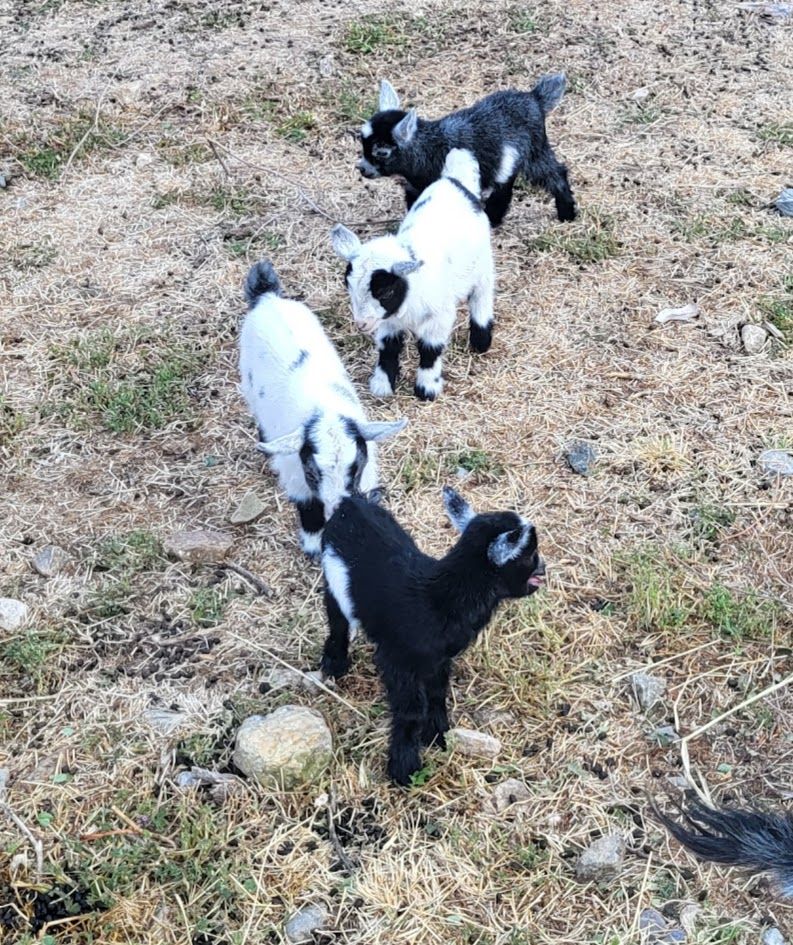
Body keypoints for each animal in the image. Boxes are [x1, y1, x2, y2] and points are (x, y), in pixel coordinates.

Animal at [239, 260, 405, 556]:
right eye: (312, 473)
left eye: (356, 467)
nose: (339, 508)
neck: (324, 411)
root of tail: (267, 298)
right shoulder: (296, 474)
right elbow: (308, 505)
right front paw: (314, 542)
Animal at [319, 486, 546, 785]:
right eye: (529, 555)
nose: (544, 568)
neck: (441, 598)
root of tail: (350, 502)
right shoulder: (397, 660)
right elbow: (411, 710)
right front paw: (404, 766)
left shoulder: (438, 658)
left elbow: (437, 692)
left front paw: (438, 733)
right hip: (334, 582)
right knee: (337, 620)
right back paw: (334, 663)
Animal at [332, 148, 494, 402]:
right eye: (346, 284)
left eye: (386, 291)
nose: (362, 323)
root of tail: (454, 180)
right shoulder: (388, 319)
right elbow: (388, 347)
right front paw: (382, 385)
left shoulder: (440, 316)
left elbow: (430, 350)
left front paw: (427, 389)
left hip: (483, 264)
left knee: (482, 294)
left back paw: (480, 340)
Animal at [357, 74, 576, 227]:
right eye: (361, 140)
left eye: (381, 152)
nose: (362, 168)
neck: (429, 149)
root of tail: (534, 97)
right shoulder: (416, 187)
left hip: (534, 148)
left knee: (554, 173)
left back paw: (566, 213)